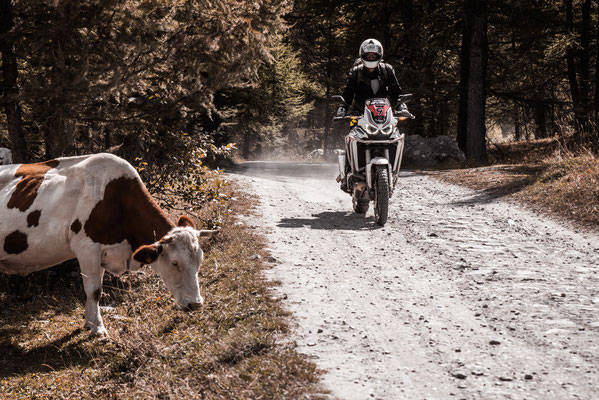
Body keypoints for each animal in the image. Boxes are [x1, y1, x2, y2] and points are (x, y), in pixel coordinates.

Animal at [0, 153, 216, 338]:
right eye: (174, 263)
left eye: (199, 262)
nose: (196, 304)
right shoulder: (87, 249)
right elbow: (94, 291)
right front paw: (98, 328)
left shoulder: (103, 252)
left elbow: (95, 290)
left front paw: (89, 323)